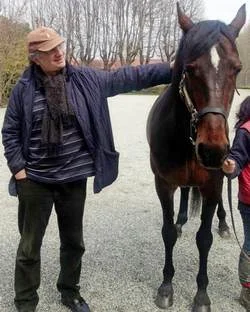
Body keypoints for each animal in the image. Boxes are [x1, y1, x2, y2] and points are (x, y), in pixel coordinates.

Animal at [146, 3, 246, 312]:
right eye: (189, 70)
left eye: (237, 69)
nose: (212, 150)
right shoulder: (163, 184)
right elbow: (167, 232)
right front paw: (166, 286)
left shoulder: (213, 185)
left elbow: (205, 238)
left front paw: (201, 295)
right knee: (184, 194)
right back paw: (181, 220)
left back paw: (224, 224)